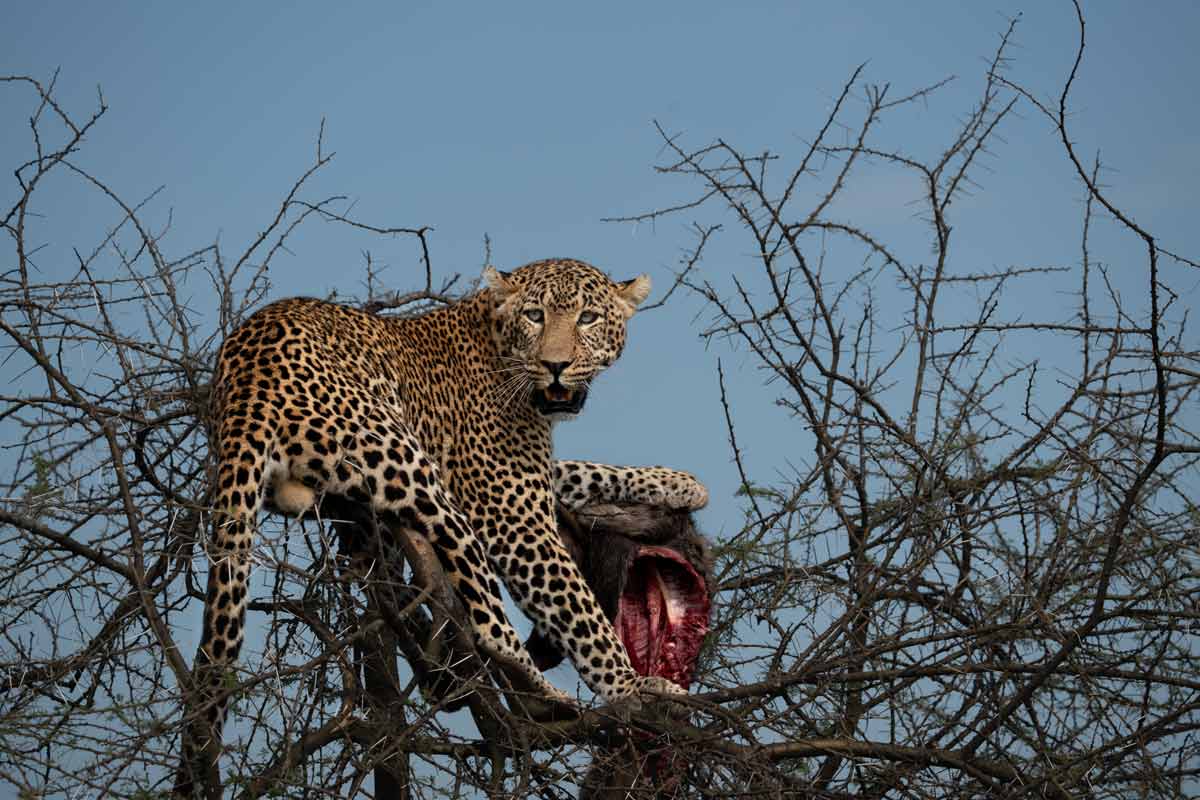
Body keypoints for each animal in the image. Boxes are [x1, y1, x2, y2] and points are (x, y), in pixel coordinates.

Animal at [182, 257, 705, 786]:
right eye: (535, 316)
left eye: (588, 318)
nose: (555, 364)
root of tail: (246, 379)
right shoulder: (508, 508)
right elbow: (580, 613)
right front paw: (633, 687)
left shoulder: (525, 475)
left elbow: (581, 469)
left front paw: (678, 483)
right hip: (411, 466)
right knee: (489, 623)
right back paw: (542, 700)